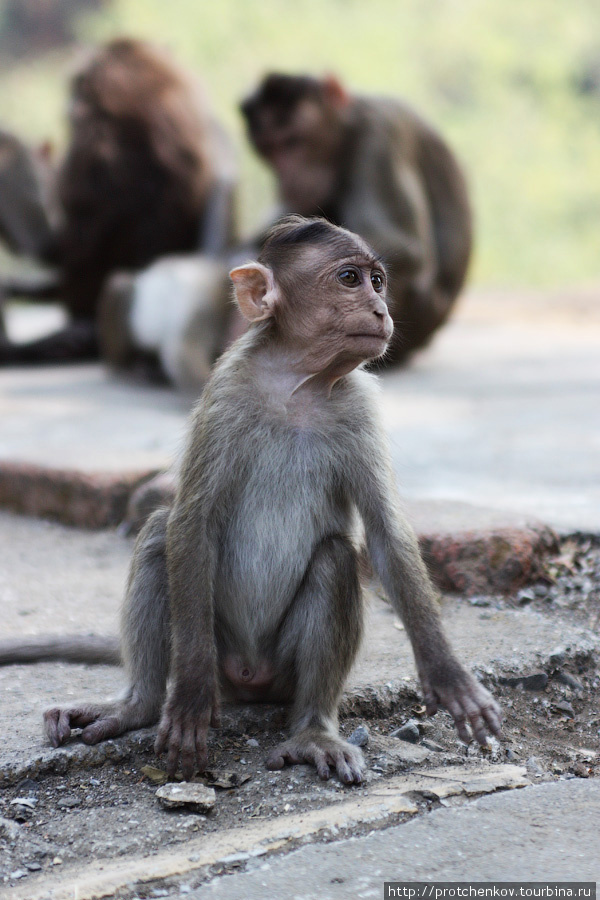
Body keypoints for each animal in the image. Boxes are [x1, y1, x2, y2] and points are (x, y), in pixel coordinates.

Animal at [7, 216, 504, 780]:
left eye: (378, 282)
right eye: (350, 278)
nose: (381, 310)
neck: (297, 384)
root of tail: (247, 676)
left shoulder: (361, 407)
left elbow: (385, 535)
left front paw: (448, 676)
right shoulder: (224, 395)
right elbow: (192, 522)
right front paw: (190, 698)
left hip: (281, 671)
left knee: (335, 560)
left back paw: (313, 730)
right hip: (215, 646)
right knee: (159, 535)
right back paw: (139, 705)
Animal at [241, 72, 472, 364]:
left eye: (294, 141)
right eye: (270, 150)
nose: (287, 180)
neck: (347, 126)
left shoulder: (377, 140)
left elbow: (405, 250)